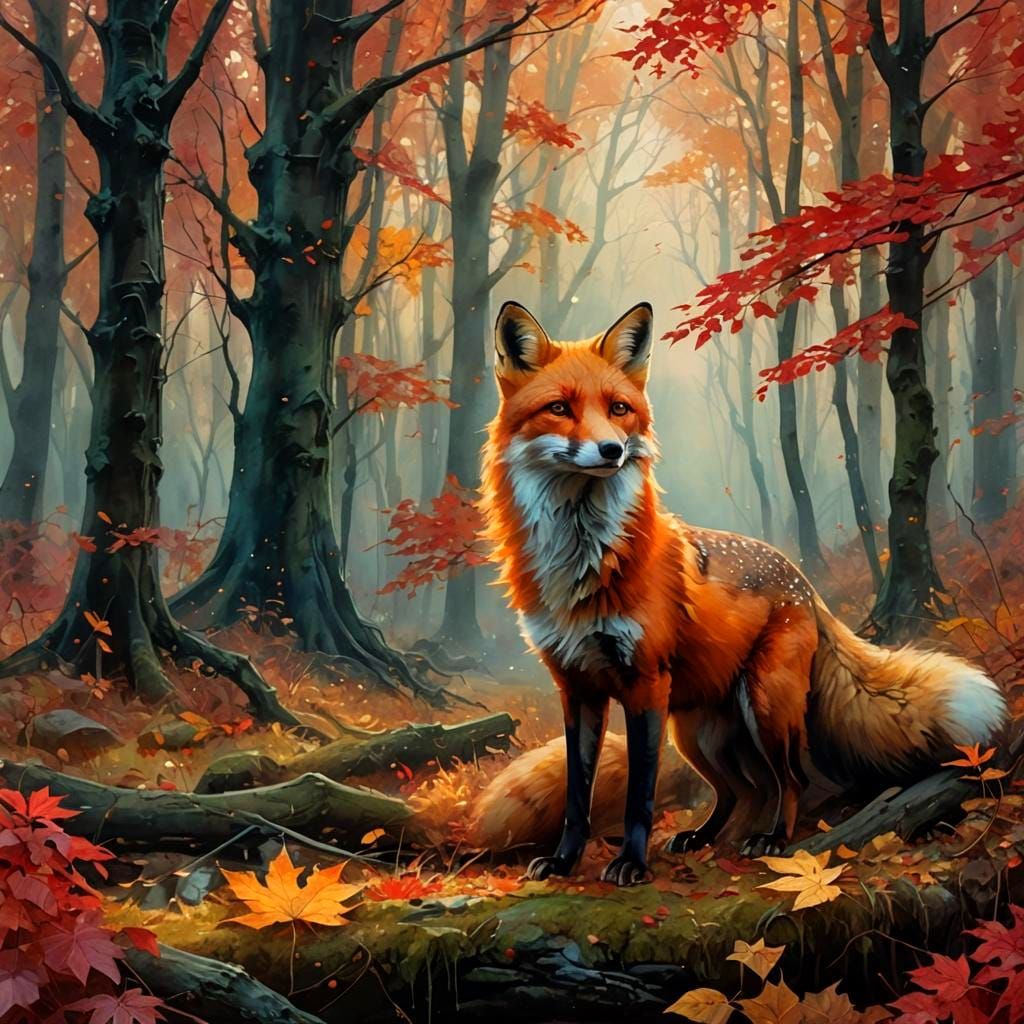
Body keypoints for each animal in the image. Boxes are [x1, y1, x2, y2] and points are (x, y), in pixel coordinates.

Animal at [477, 299, 1008, 886]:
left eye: (618, 409)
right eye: (559, 408)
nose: (612, 449)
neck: (583, 563)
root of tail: (805, 583)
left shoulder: (644, 684)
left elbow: (640, 796)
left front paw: (631, 863)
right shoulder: (576, 688)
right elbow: (578, 793)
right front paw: (565, 860)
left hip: (762, 707)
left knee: (790, 780)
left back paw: (772, 839)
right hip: (696, 732)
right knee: (741, 790)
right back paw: (704, 837)